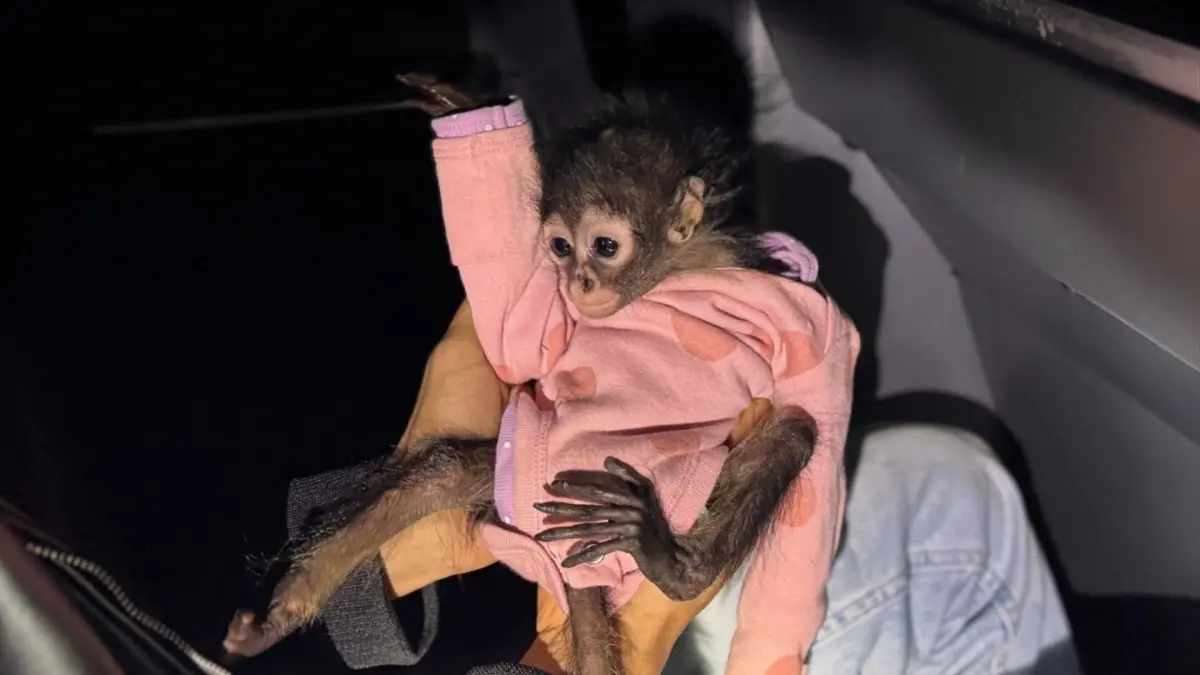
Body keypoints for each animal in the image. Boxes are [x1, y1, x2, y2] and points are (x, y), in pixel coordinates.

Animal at [224, 74, 854, 675]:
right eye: (560, 247)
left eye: (604, 246)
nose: (580, 282)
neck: (671, 273)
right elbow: (518, 343)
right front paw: (460, 107)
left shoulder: (796, 310)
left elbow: (823, 387)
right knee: (443, 471)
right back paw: (279, 616)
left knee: (797, 433)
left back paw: (676, 566)